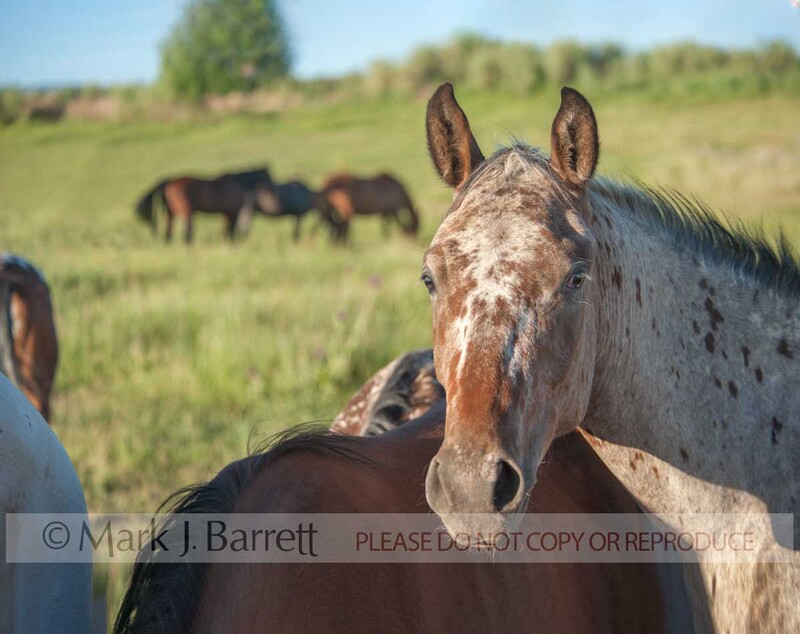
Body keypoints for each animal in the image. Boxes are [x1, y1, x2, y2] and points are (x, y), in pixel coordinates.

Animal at [135, 168, 273, 243]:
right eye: (268, 178)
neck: (238, 183)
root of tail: (170, 182)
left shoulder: (227, 214)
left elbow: (226, 232)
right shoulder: (232, 213)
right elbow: (230, 232)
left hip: (171, 213)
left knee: (169, 233)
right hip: (187, 212)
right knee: (187, 234)